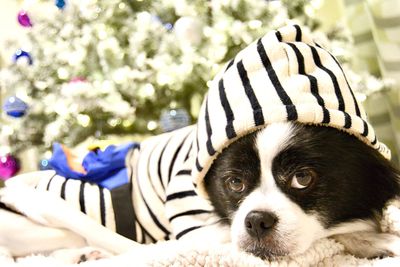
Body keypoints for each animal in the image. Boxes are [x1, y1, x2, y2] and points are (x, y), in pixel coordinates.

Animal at [0, 25, 400, 264]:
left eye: (303, 178)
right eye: (234, 183)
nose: (256, 221)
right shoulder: (198, 224)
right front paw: (374, 240)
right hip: (47, 219)